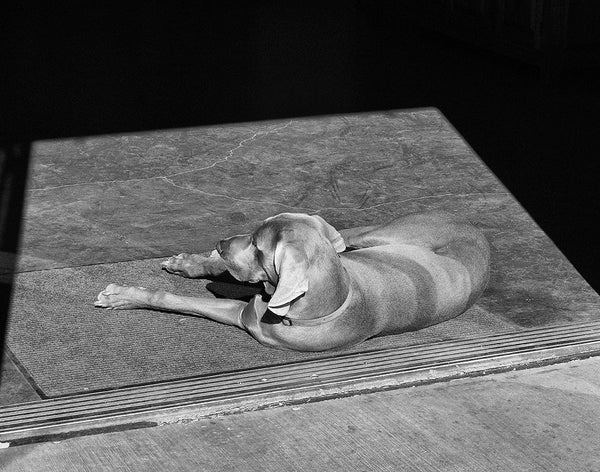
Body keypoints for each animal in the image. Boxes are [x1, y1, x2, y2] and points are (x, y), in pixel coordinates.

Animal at [95, 212, 488, 352]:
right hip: (369, 236)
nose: (221, 243)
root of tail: (475, 230)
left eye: (257, 245)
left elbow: (178, 300)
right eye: (254, 233)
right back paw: (191, 262)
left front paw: (121, 296)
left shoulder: (246, 317)